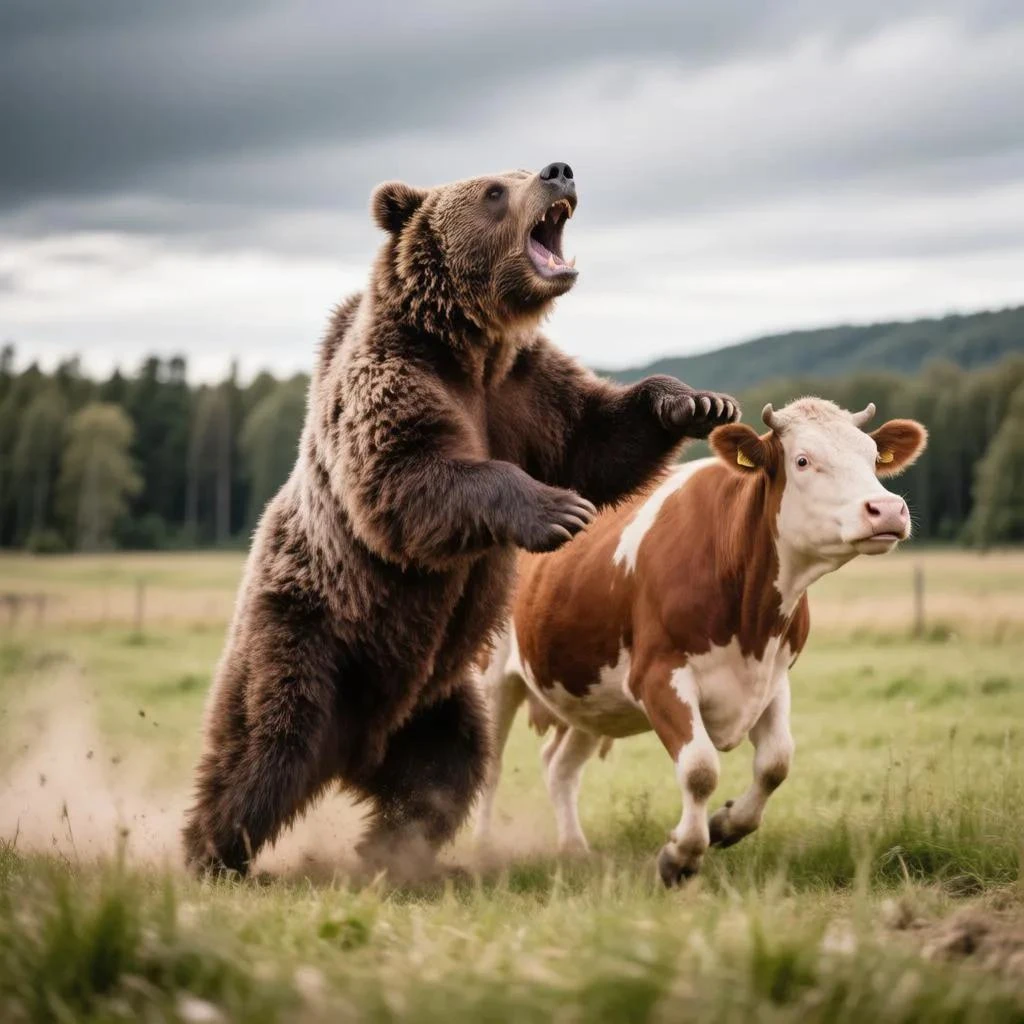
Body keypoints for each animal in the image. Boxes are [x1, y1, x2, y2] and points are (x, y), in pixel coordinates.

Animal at [182, 161, 740, 878]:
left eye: (525, 171)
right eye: (496, 189)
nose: (560, 170)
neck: (470, 345)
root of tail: (355, 749)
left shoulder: (526, 393)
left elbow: (599, 438)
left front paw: (695, 401)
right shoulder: (396, 380)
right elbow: (409, 474)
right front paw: (559, 510)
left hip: (435, 696)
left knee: (445, 767)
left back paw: (392, 856)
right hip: (312, 635)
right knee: (266, 744)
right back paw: (215, 854)